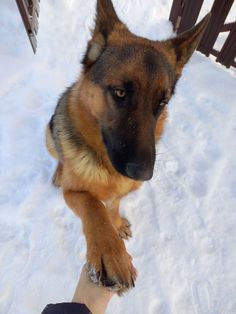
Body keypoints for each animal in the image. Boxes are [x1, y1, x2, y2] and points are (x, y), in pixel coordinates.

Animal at [46, 0, 210, 294]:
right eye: (120, 93)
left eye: (162, 103)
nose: (143, 175)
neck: (105, 167)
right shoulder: (73, 193)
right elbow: (94, 207)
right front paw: (110, 252)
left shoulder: (118, 193)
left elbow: (111, 206)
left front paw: (116, 225)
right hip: (49, 135)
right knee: (58, 156)